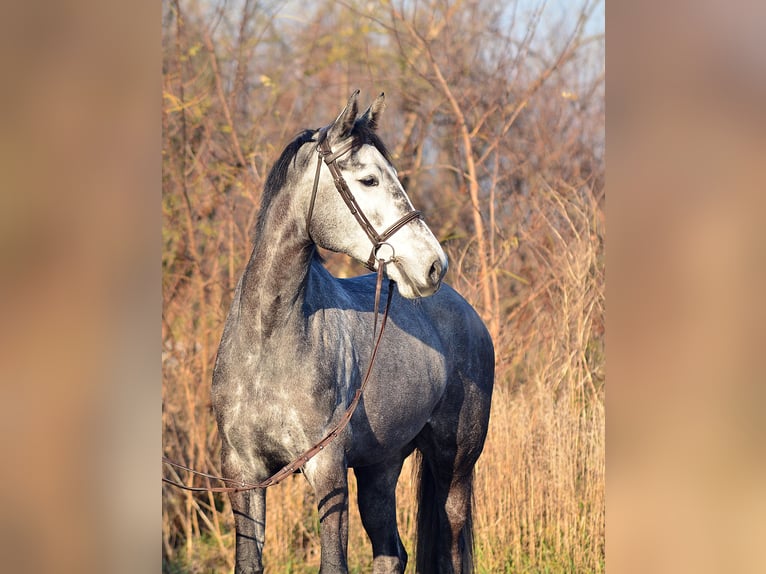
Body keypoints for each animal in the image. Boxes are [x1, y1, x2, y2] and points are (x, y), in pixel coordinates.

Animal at [213, 92, 496, 572]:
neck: (268, 344)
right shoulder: (242, 474)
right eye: (368, 179)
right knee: (391, 553)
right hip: (380, 468)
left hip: (455, 465)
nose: (433, 265)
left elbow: (333, 563)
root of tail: (465, 310)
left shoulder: (327, 469)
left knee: (453, 544)